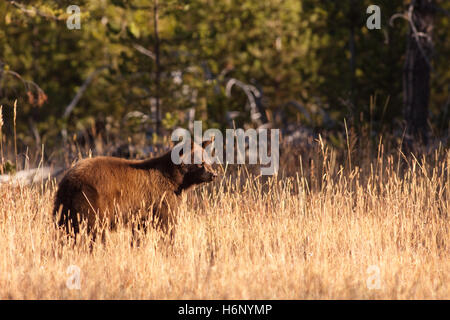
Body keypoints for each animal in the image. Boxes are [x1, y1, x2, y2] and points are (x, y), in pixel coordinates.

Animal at [52, 139, 216, 241]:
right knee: (93, 229)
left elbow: (139, 233)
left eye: (208, 160)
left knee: (64, 230)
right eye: (200, 163)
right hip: (92, 201)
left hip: (64, 206)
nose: (214, 174)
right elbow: (167, 225)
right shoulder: (162, 198)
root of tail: (70, 181)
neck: (176, 180)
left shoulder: (142, 213)